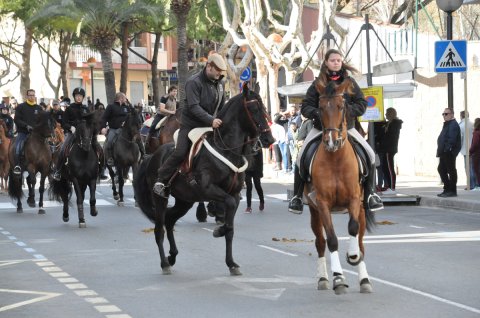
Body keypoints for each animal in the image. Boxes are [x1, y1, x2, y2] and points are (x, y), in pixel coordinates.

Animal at [134, 87, 274, 276]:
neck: (225, 149)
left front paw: (231, 263)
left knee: (169, 221)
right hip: (161, 198)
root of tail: (151, 157)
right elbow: (228, 210)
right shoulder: (208, 189)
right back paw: (164, 263)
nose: (269, 140)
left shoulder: (234, 194)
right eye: (253, 108)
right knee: (159, 229)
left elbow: (231, 229)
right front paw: (219, 229)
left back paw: (172, 256)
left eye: (264, 107)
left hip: (184, 201)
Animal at [304, 79, 376, 296]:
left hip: (362, 209)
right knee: (320, 242)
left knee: (360, 241)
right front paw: (338, 278)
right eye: (319, 108)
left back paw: (364, 280)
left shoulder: (354, 200)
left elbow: (352, 230)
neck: (335, 158)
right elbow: (332, 240)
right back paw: (323, 279)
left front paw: (352, 256)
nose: (331, 141)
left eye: (342, 106)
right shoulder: (322, 204)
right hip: (314, 212)